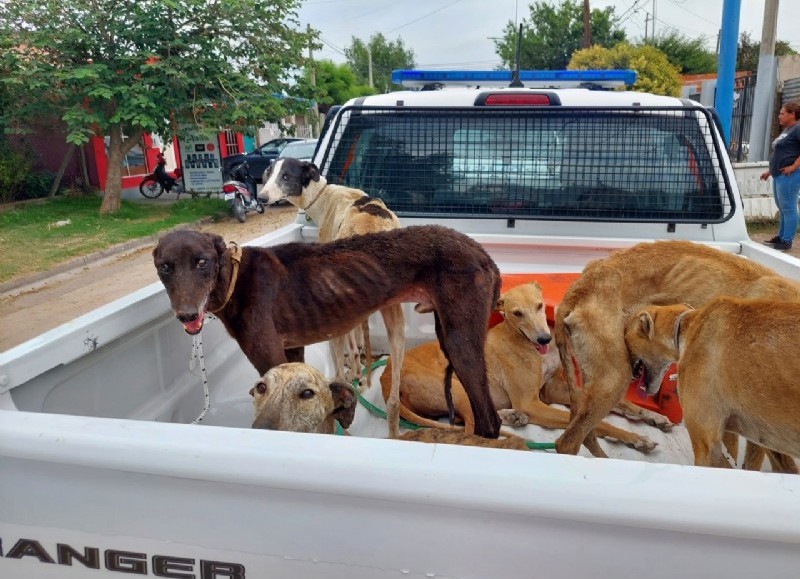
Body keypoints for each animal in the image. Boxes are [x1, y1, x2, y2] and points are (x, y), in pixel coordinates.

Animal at [154, 225, 504, 440]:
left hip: (460, 341)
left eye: (202, 262)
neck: (235, 278)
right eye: (164, 267)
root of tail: (482, 252)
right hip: (448, 333)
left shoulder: (268, 355)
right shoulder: (290, 352)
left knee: (490, 420)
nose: (187, 314)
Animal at [380, 284, 668, 450]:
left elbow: (617, 405)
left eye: (540, 306)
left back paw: (512, 416)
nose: (544, 339)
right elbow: (590, 423)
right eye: (517, 313)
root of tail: (385, 378)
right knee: (474, 428)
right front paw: (634, 438)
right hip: (460, 387)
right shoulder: (533, 401)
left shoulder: (550, 391)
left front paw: (653, 417)